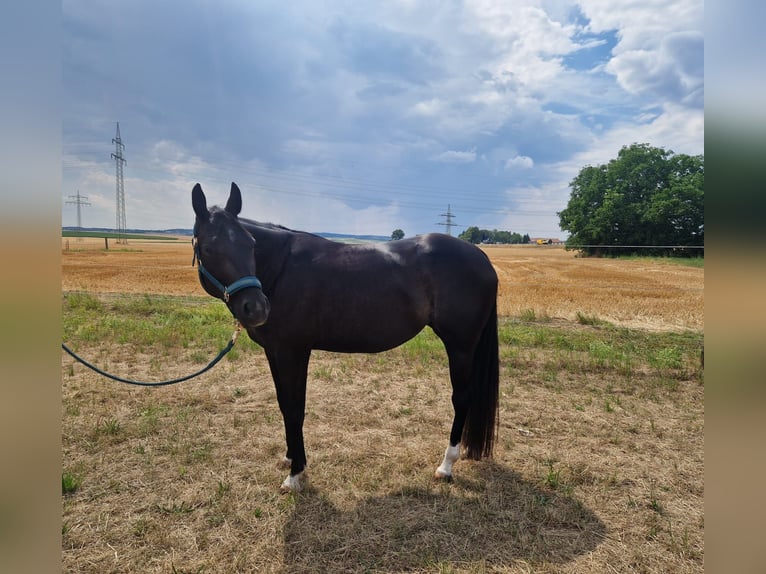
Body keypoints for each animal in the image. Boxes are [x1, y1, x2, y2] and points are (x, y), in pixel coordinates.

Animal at [192, 182, 499, 492]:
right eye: (208, 248)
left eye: (251, 245)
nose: (256, 308)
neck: (281, 268)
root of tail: (481, 256)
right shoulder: (274, 351)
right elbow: (282, 404)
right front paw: (290, 457)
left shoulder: (294, 352)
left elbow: (294, 408)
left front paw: (295, 474)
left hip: (460, 347)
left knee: (461, 398)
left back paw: (446, 466)